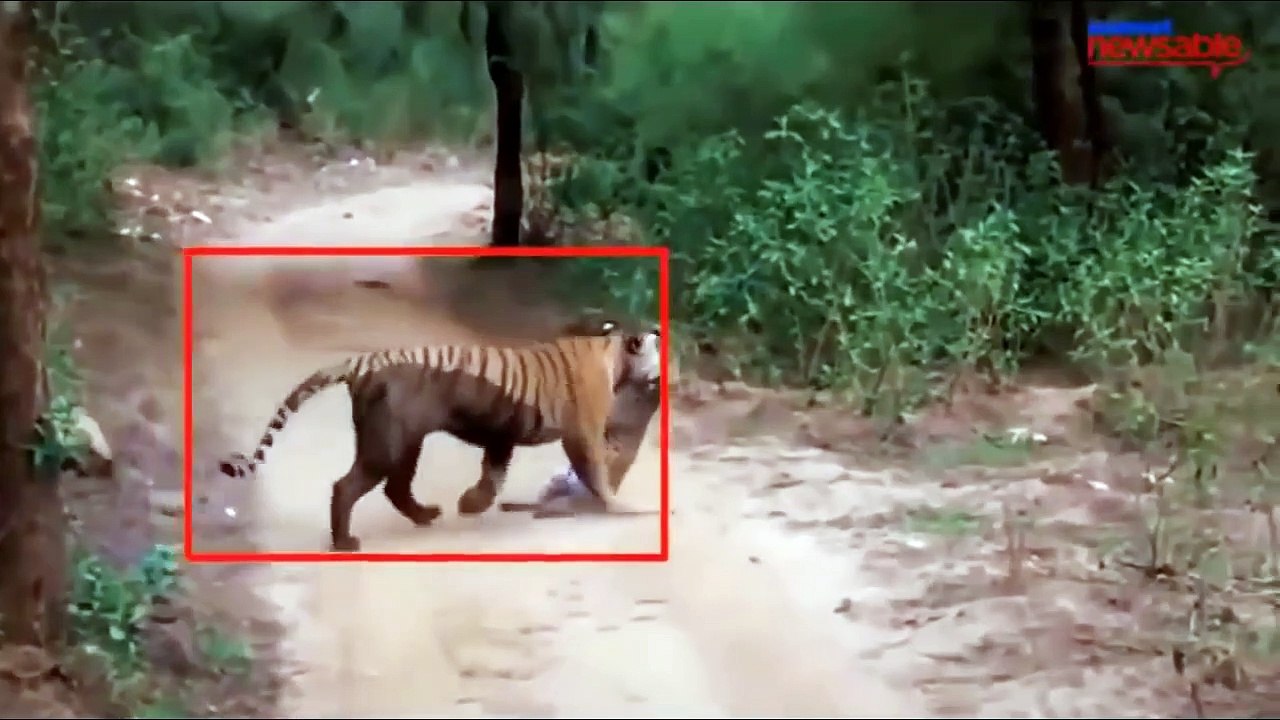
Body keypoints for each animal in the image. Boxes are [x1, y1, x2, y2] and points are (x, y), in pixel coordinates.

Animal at [217, 323, 661, 551]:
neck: (616, 355)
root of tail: (361, 361)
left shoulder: (502, 432)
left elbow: (493, 473)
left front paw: (471, 504)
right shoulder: (582, 433)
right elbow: (597, 472)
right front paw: (621, 508)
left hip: (405, 441)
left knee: (395, 487)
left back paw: (425, 515)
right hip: (387, 443)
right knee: (347, 486)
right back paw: (345, 542)